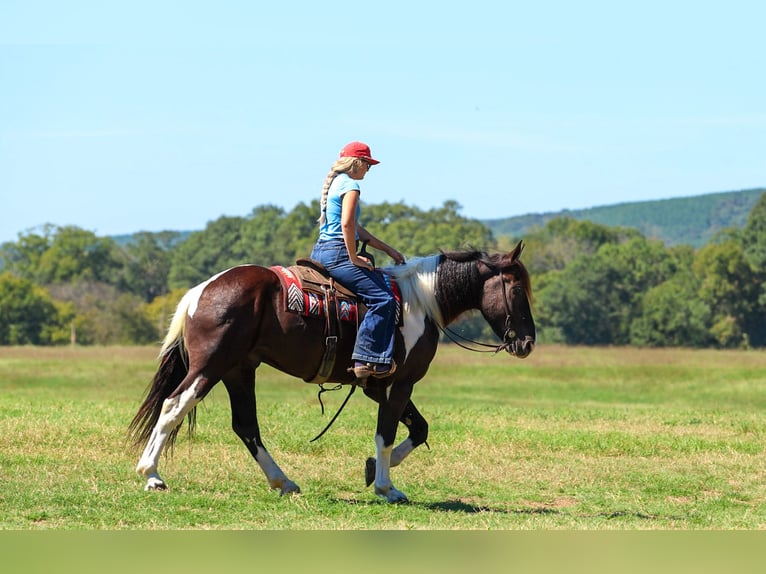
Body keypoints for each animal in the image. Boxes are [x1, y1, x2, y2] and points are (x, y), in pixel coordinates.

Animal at [128, 240, 535, 503]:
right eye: (516, 289)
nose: (528, 342)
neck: (419, 303)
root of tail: (201, 290)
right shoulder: (399, 383)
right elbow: (387, 434)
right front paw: (386, 487)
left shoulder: (377, 385)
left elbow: (417, 429)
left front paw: (373, 471)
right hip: (209, 366)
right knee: (173, 406)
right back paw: (151, 475)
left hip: (239, 370)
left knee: (246, 426)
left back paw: (283, 482)